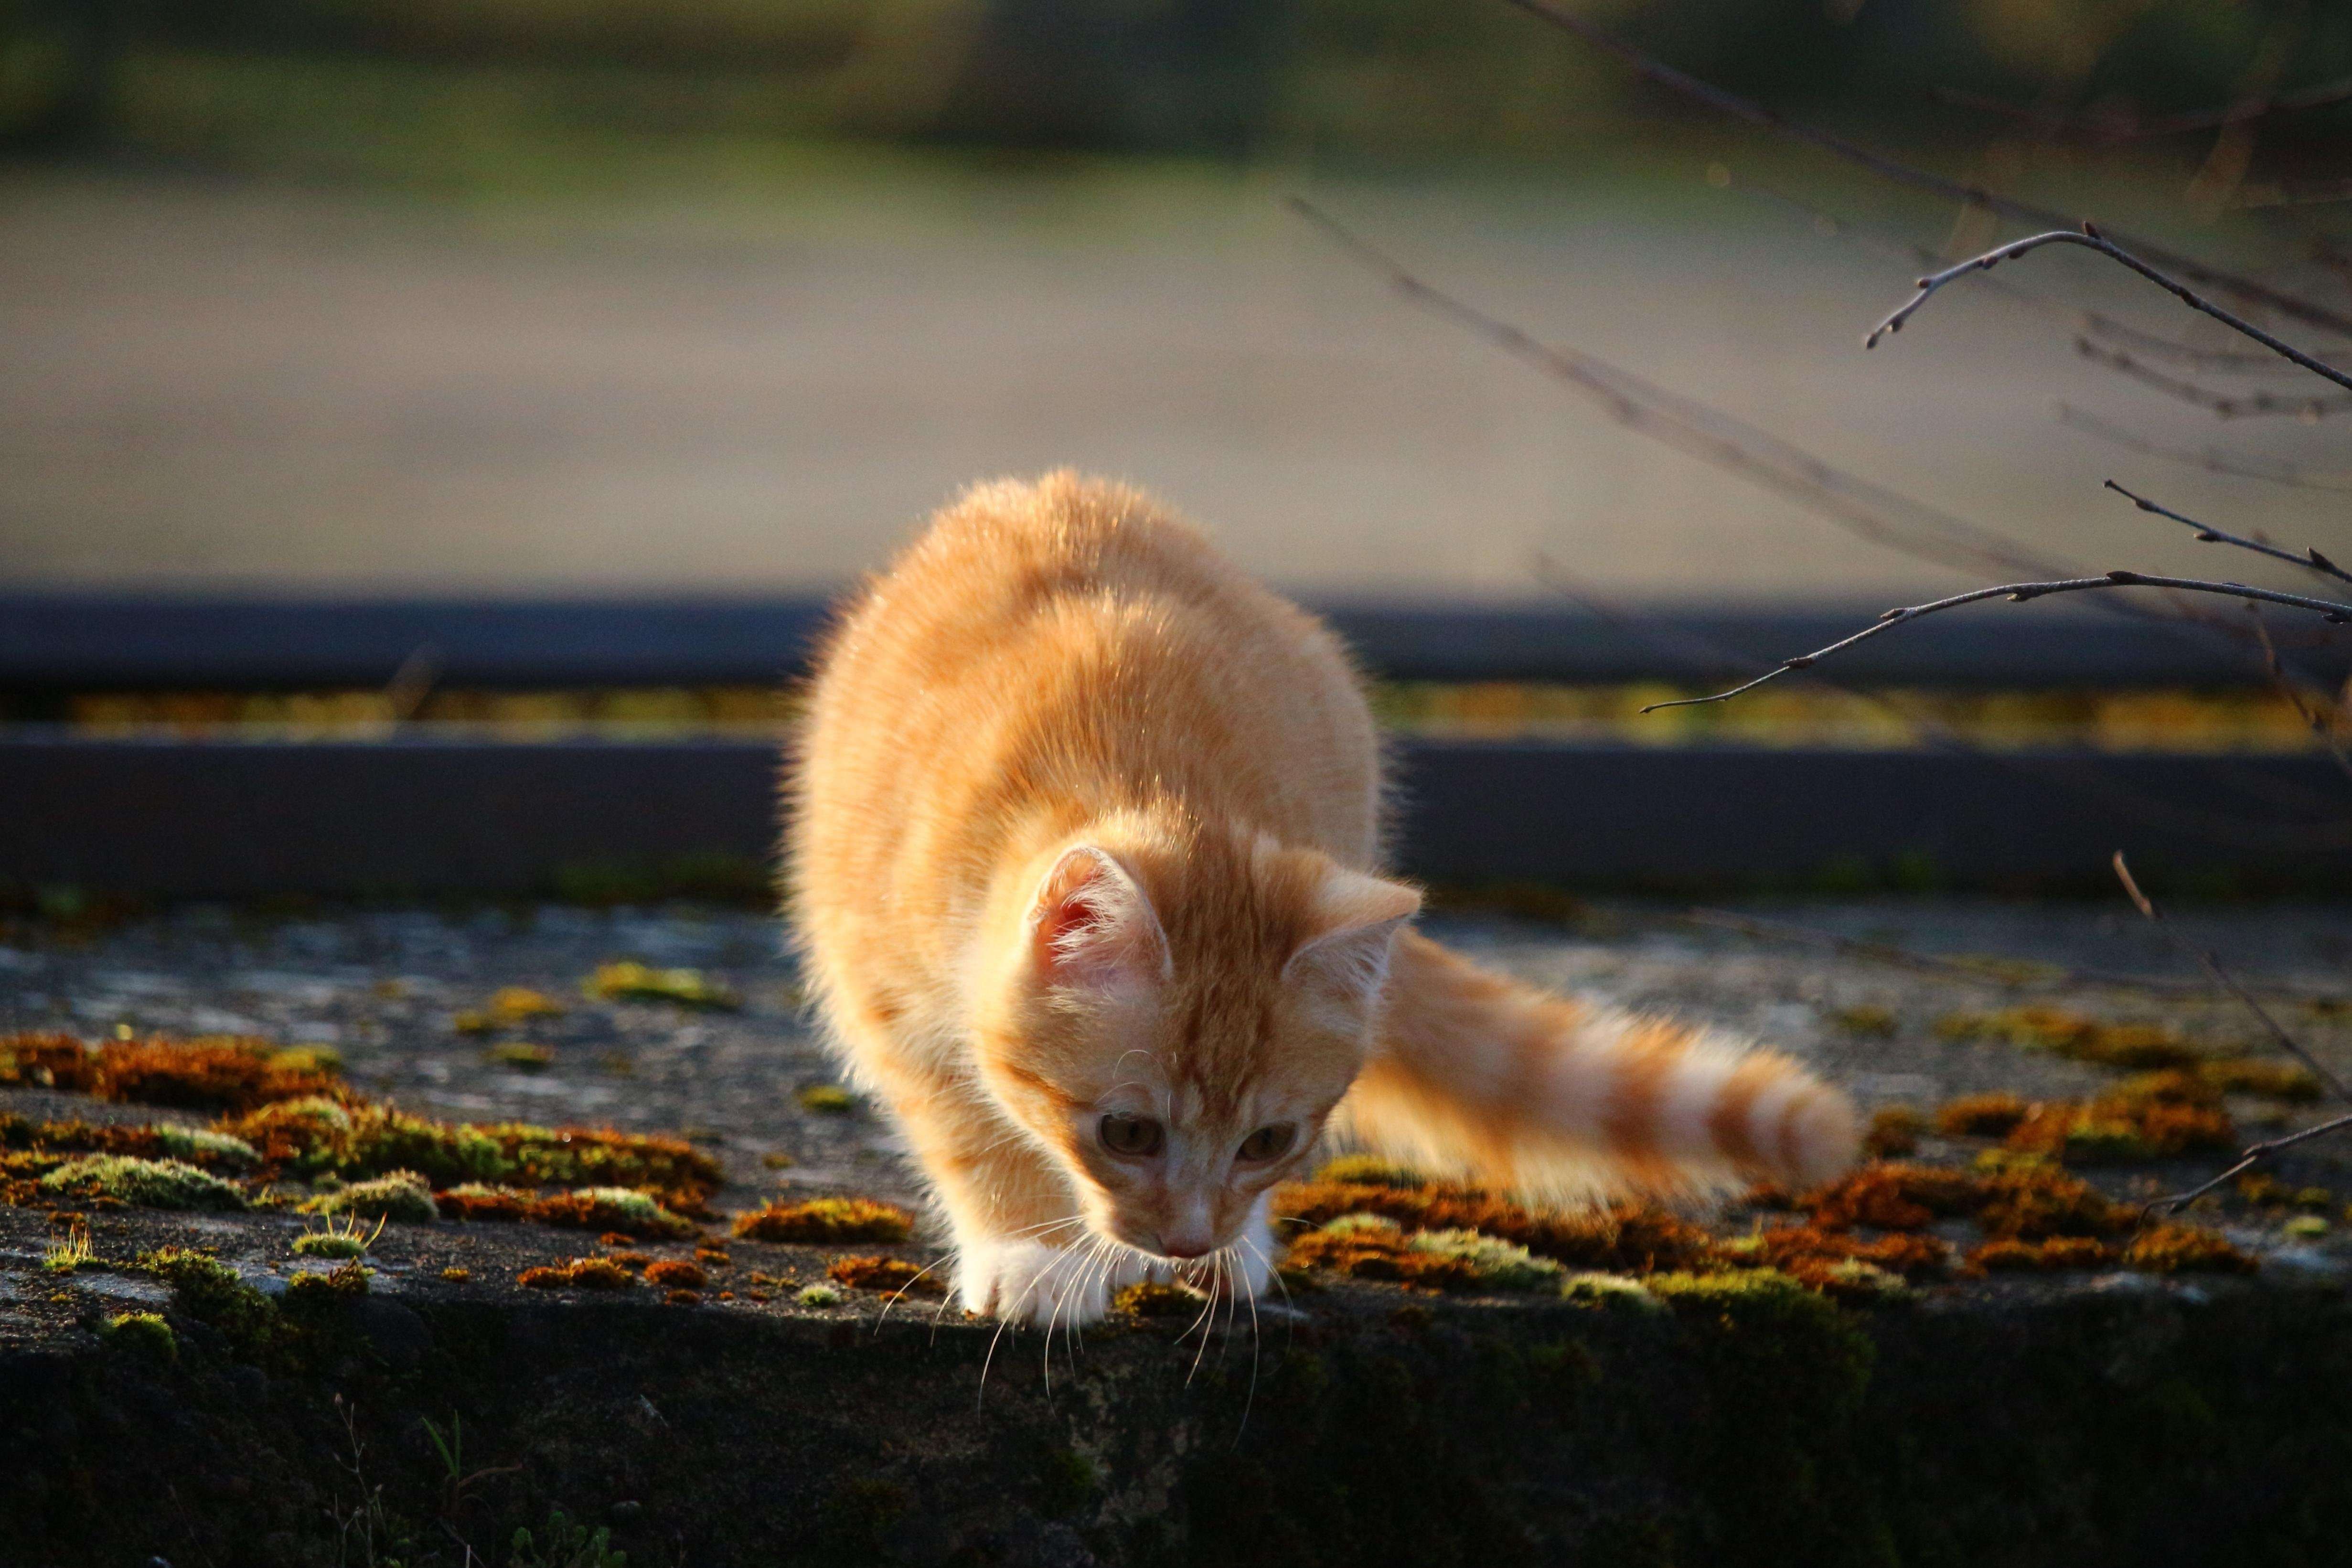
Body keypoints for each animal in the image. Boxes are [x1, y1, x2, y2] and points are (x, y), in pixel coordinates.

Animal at [790, 470, 1853, 1326]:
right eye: (1127, 1132)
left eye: (1268, 1140)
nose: (1187, 1239)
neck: (1143, 768)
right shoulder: (888, 989)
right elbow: (970, 1125)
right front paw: (1034, 1247)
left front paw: (1226, 1242)